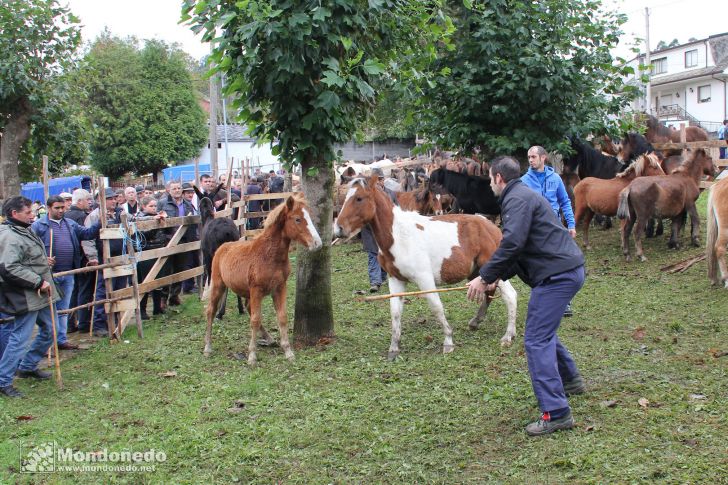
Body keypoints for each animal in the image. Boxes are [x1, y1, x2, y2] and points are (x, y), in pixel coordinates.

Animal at [202, 192, 322, 364]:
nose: (317, 243)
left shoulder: (280, 287)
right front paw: (252, 356)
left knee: (247, 307)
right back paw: (207, 347)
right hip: (219, 285)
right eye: (298, 219)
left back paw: (270, 339)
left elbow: (282, 317)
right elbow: (255, 319)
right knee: (211, 311)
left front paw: (288, 351)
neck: (269, 255)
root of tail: (222, 247)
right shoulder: (256, 290)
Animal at [332, 176, 520, 358]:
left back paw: (508, 336)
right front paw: (394, 348)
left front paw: (448, 342)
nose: (338, 229)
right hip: (478, 273)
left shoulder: (424, 279)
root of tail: (493, 227)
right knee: (490, 292)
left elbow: (436, 307)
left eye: (359, 198)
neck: (399, 236)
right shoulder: (396, 280)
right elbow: (395, 312)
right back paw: (476, 322)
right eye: (345, 198)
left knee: (510, 296)